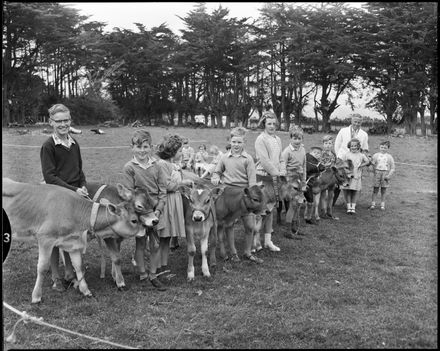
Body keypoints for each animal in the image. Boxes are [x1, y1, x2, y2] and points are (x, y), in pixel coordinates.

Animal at [2, 177, 142, 304]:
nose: (145, 228)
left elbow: (79, 266)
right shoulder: (45, 238)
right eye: (134, 220)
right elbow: (42, 268)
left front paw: (85, 290)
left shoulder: (73, 242)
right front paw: (36, 297)